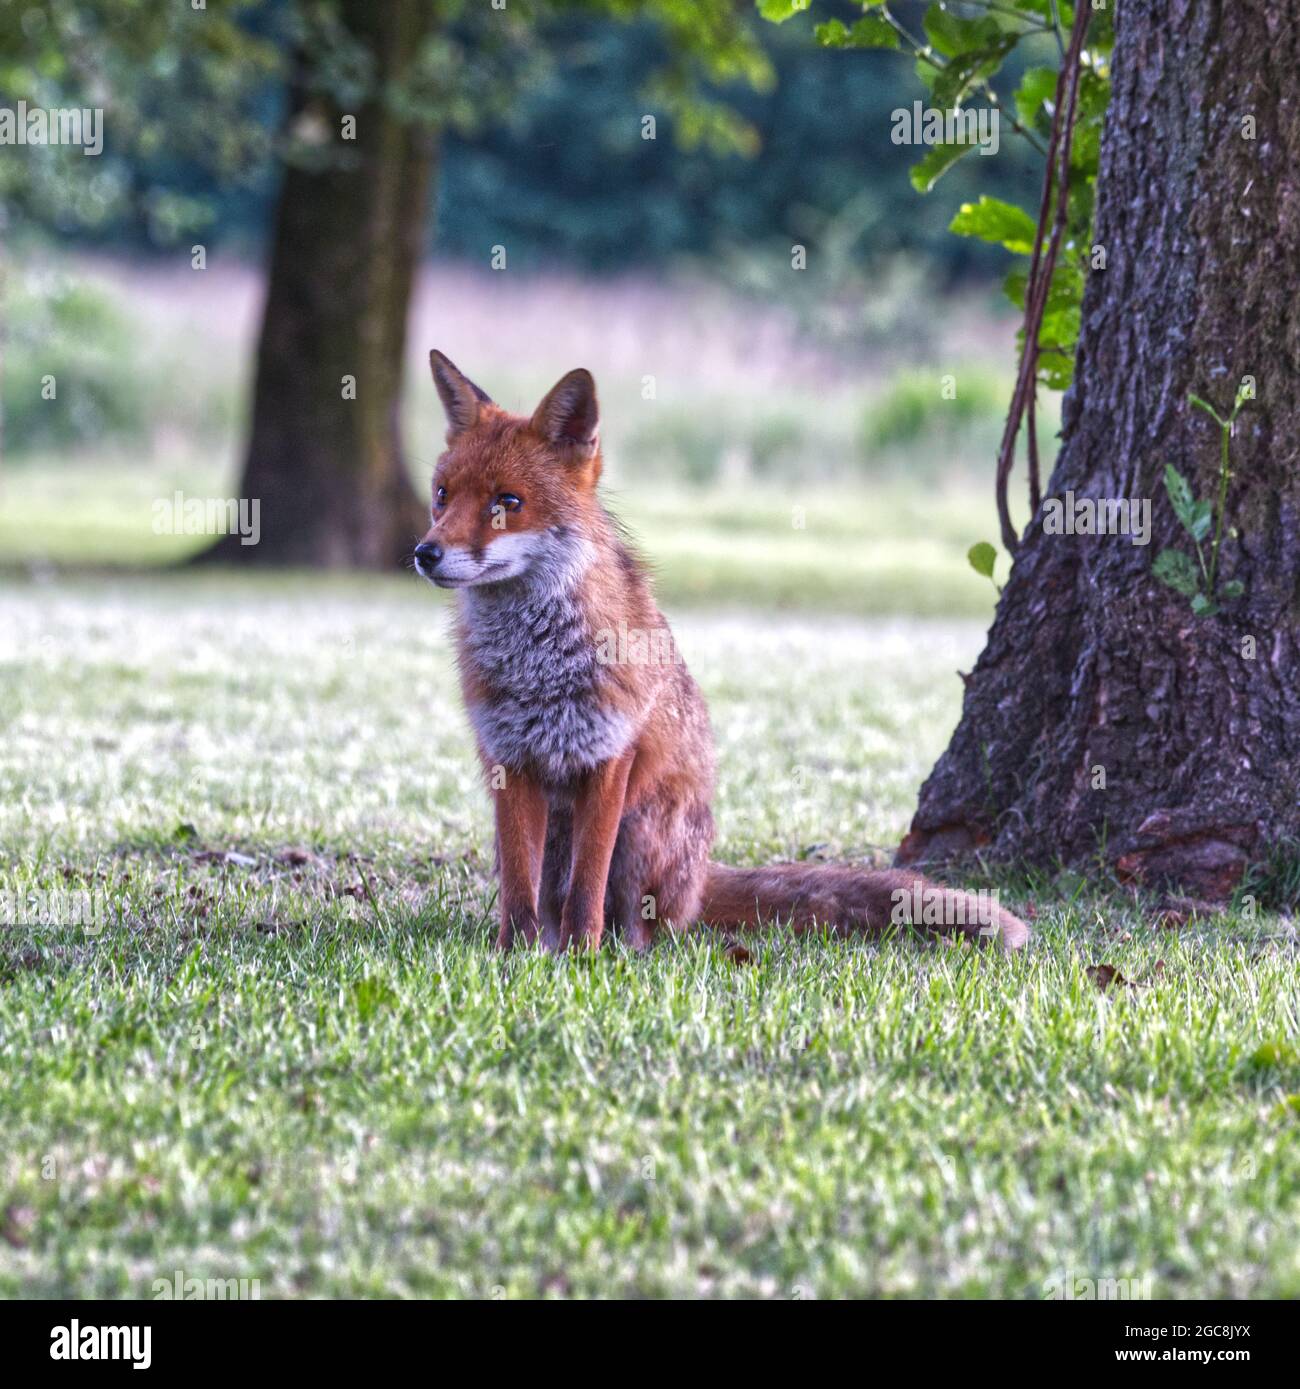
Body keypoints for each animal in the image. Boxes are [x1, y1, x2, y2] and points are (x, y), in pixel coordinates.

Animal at [415, 350, 1030, 954]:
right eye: (442, 495)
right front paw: (510, 958)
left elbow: (587, 888)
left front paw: (581, 959)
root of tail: (703, 875)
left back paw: (616, 949)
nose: (425, 553)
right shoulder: (508, 760)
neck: (538, 666)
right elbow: (520, 892)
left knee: (648, 926)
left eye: (507, 502)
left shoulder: (610, 757)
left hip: (644, 829)